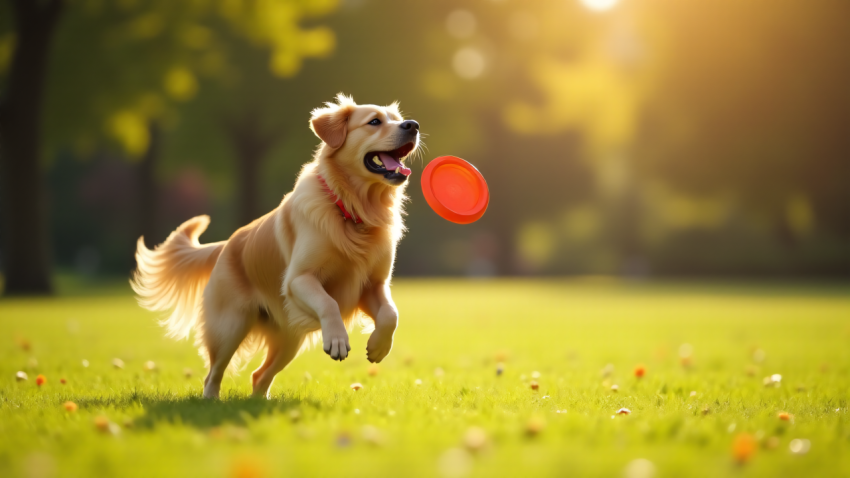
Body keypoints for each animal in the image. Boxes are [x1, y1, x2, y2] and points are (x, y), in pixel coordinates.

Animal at [131, 94, 420, 400]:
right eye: (374, 121)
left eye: (397, 118)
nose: (413, 125)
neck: (352, 209)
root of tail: (227, 244)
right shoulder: (298, 279)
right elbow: (328, 302)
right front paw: (338, 339)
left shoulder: (374, 284)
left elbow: (391, 313)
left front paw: (379, 346)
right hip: (230, 327)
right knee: (213, 373)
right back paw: (210, 402)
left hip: (289, 340)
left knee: (259, 376)